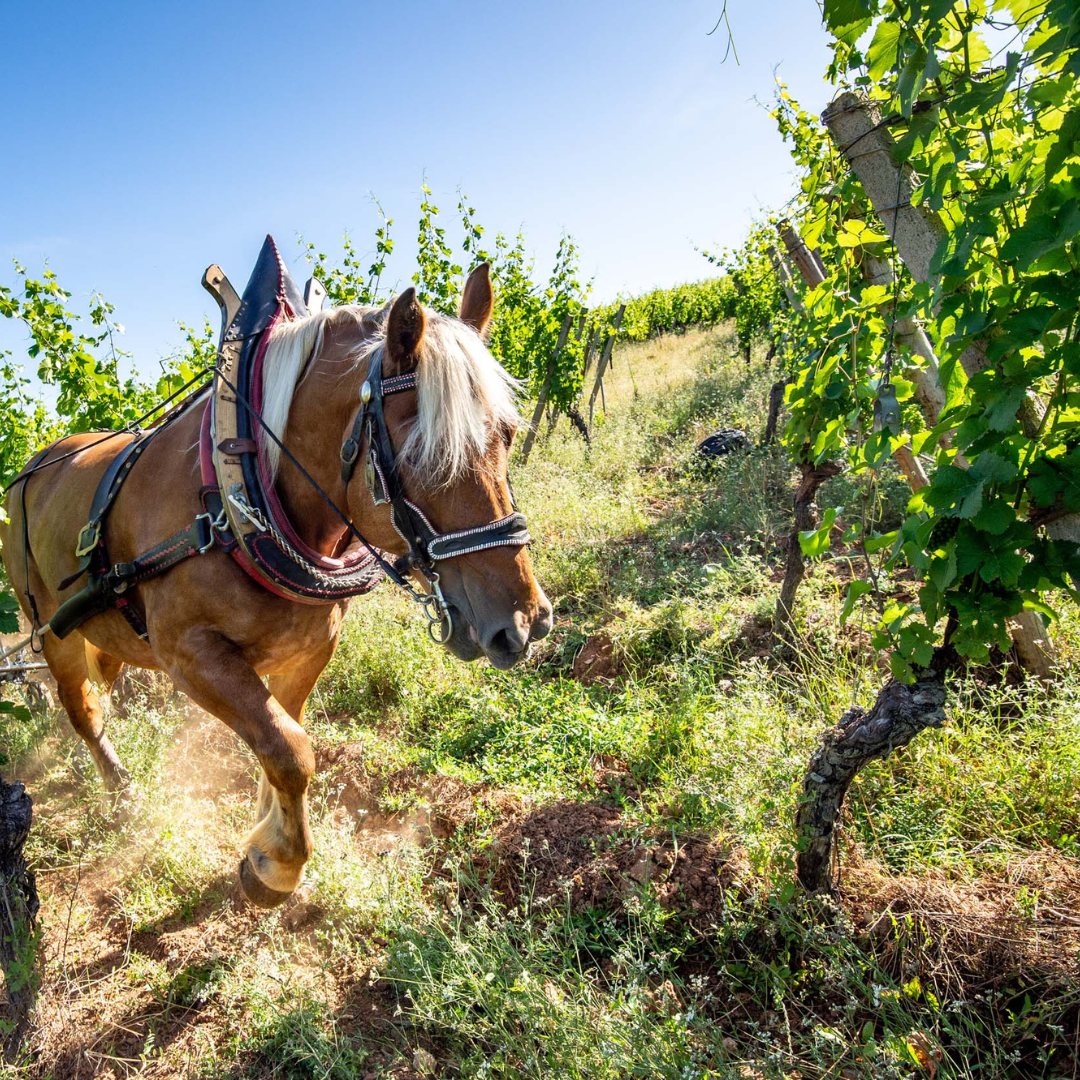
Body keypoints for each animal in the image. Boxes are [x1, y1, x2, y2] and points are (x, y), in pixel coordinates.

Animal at [0, 265, 552, 907]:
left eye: (509, 435)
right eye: (420, 455)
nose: (526, 624)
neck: (236, 498)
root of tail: (31, 467)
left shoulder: (310, 647)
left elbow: (284, 736)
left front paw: (265, 831)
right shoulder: (191, 655)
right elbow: (291, 751)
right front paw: (277, 865)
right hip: (49, 629)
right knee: (82, 710)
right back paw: (121, 791)